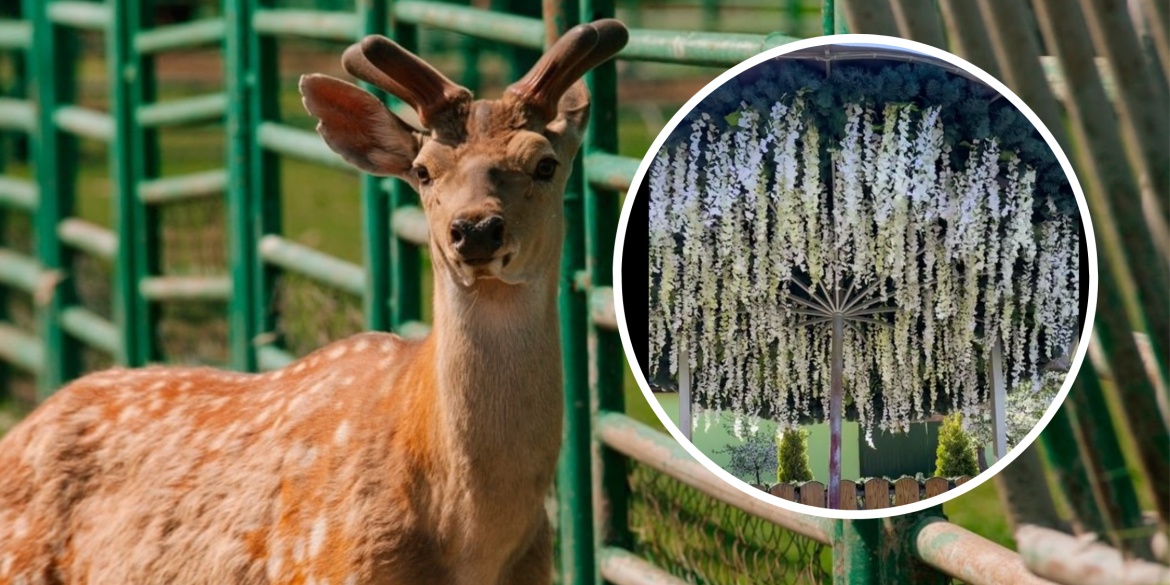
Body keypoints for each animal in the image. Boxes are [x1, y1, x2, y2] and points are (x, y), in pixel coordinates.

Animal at [0, 18, 631, 585]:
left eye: (545, 163)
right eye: (423, 171)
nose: (475, 229)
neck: (473, 547)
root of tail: (22, 428)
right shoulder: (323, 565)